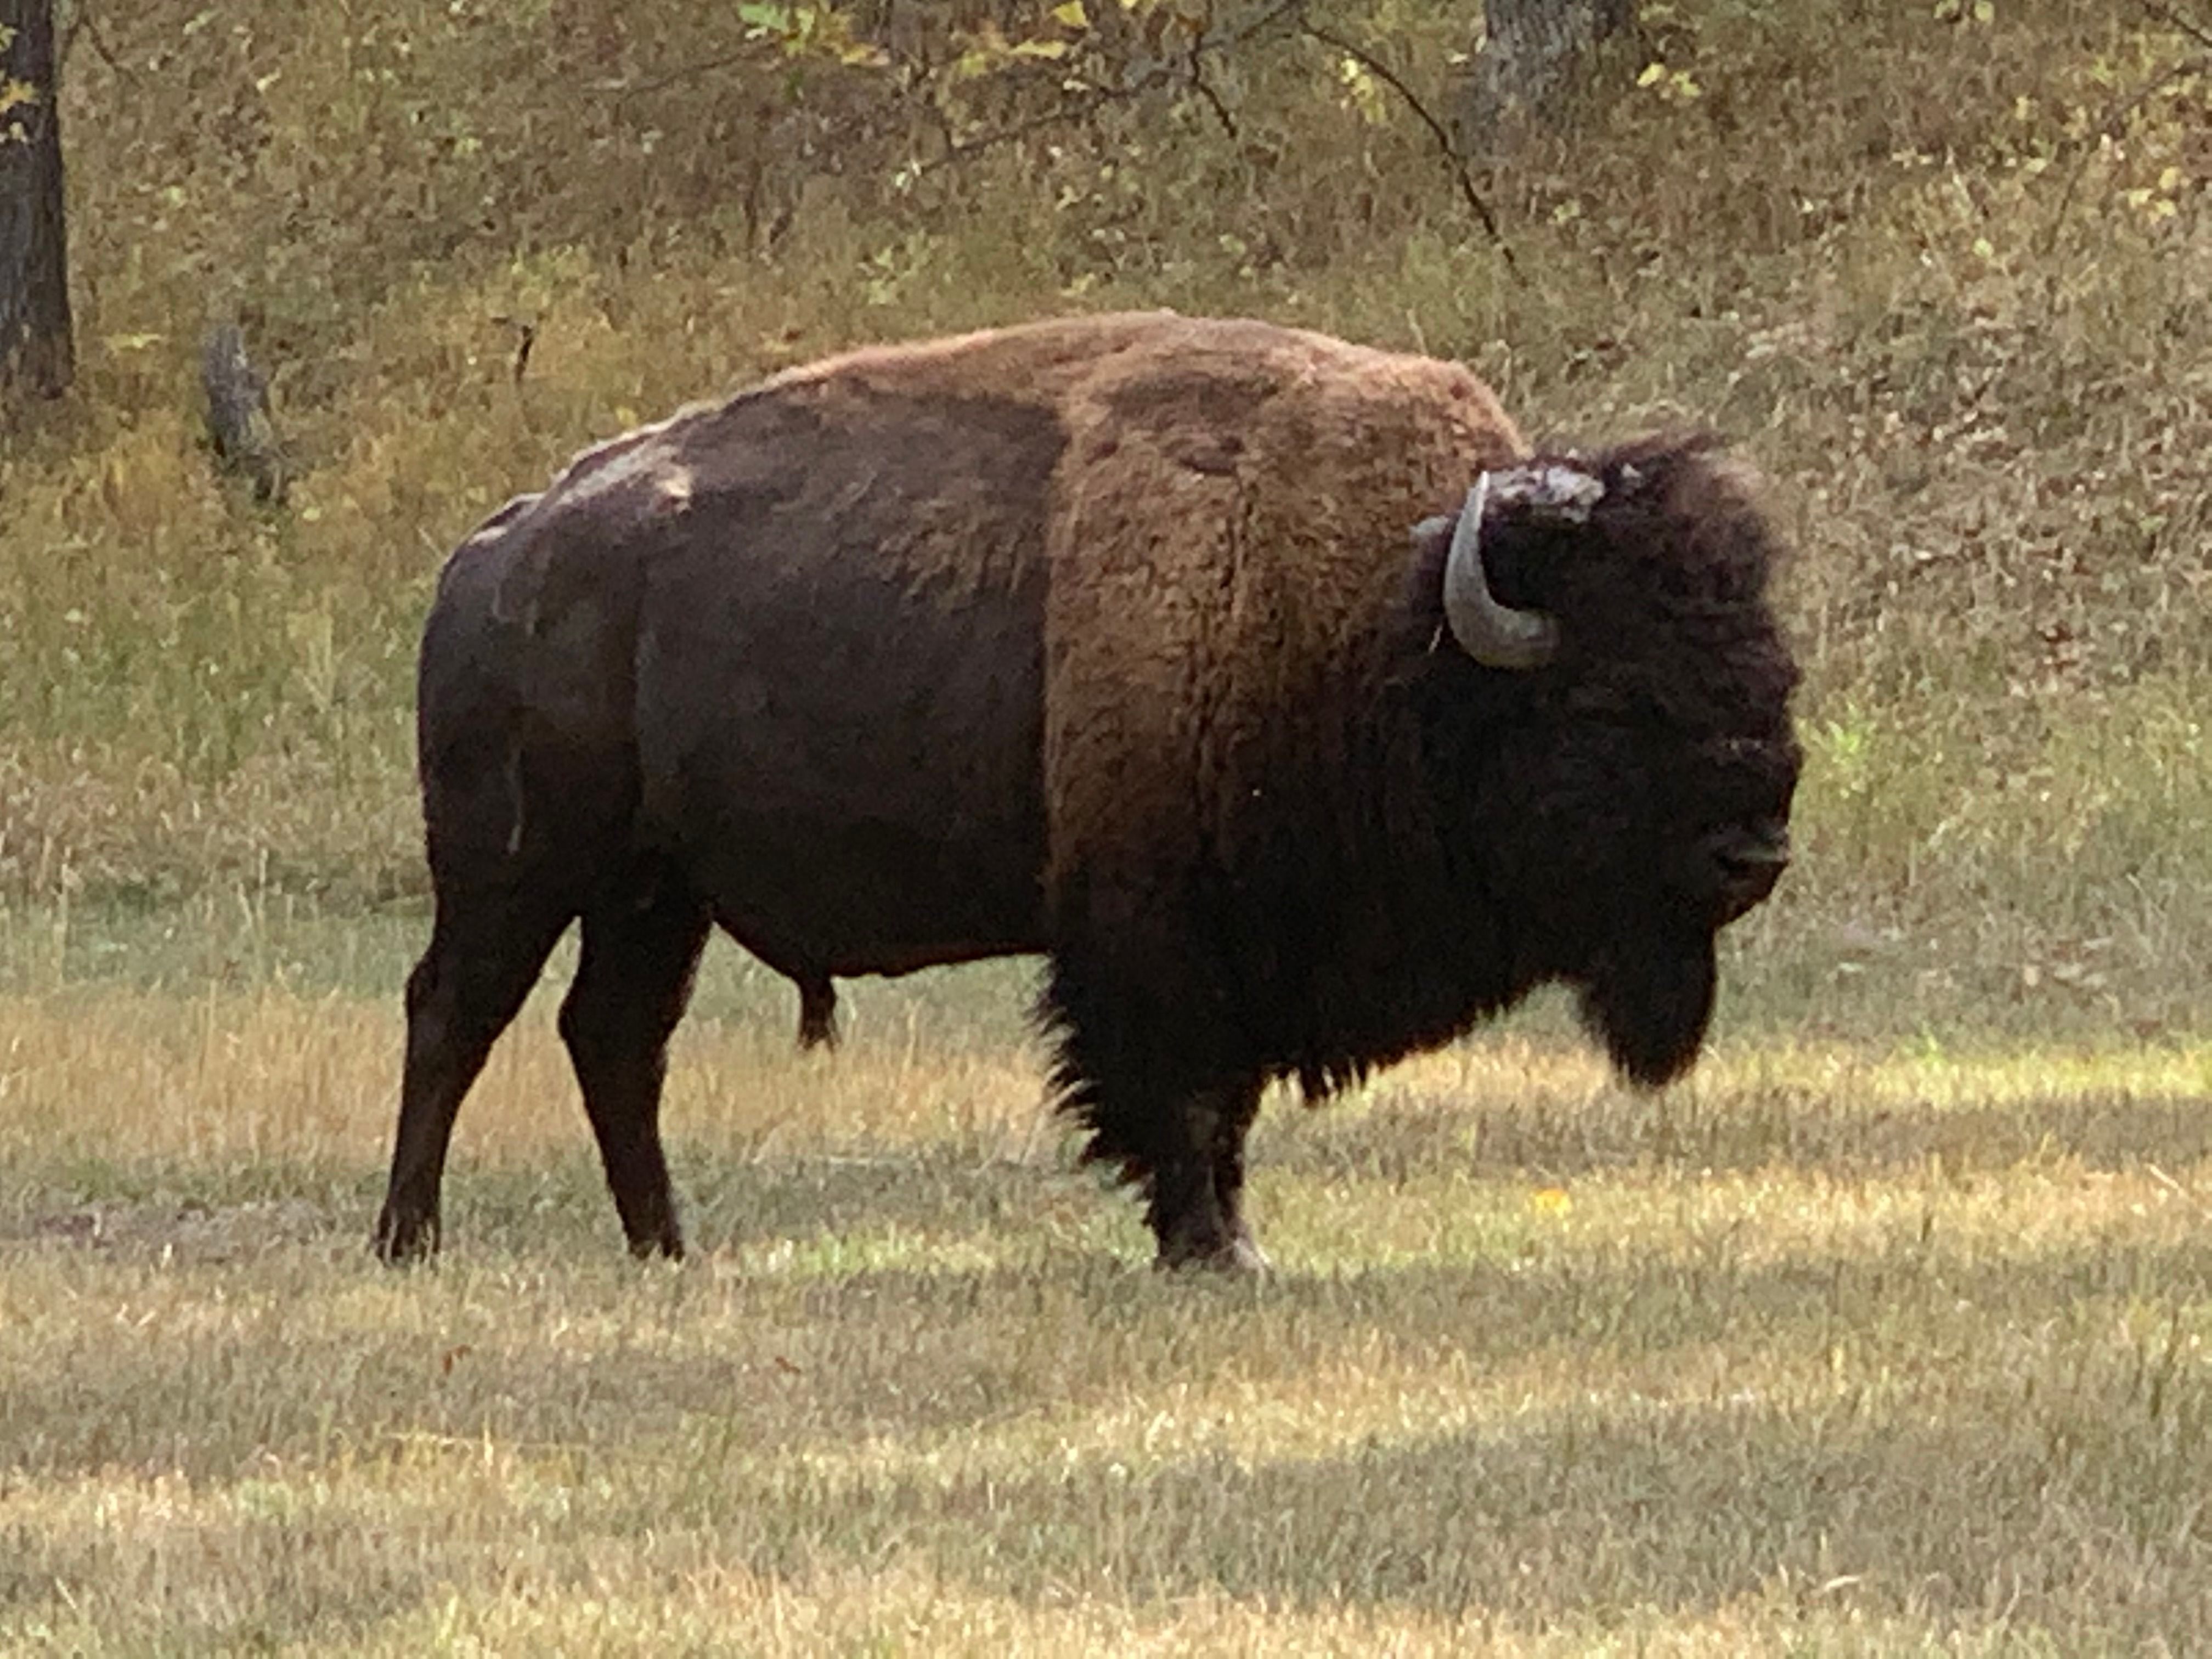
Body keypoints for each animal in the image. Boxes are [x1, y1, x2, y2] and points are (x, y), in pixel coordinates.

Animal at [373, 311, 1800, 1271]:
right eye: (1611, 702)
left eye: (1768, 666)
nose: (1756, 852)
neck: (1380, 628)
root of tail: (493, 552)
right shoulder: (1155, 936)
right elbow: (1178, 1094)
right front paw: (1210, 1247)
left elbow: (1226, 1104)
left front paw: (1227, 1239)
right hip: (520, 869)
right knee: (454, 1015)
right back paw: (410, 1239)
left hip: (655, 892)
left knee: (613, 1041)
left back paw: (667, 1247)